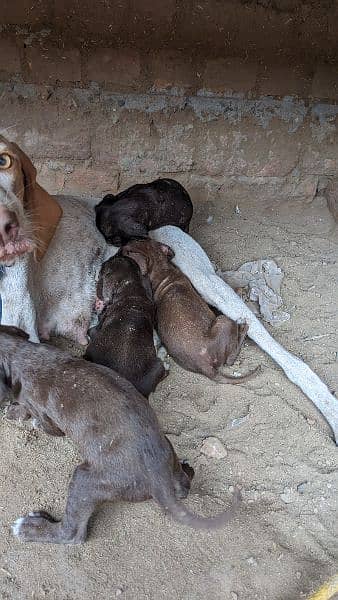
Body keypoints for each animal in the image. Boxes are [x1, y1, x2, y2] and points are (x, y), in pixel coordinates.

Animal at [1, 326, 242, 548]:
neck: (21, 353)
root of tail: (159, 478)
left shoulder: (45, 415)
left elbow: (40, 421)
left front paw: (19, 413)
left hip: (85, 480)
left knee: (73, 534)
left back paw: (30, 527)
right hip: (168, 453)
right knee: (183, 485)